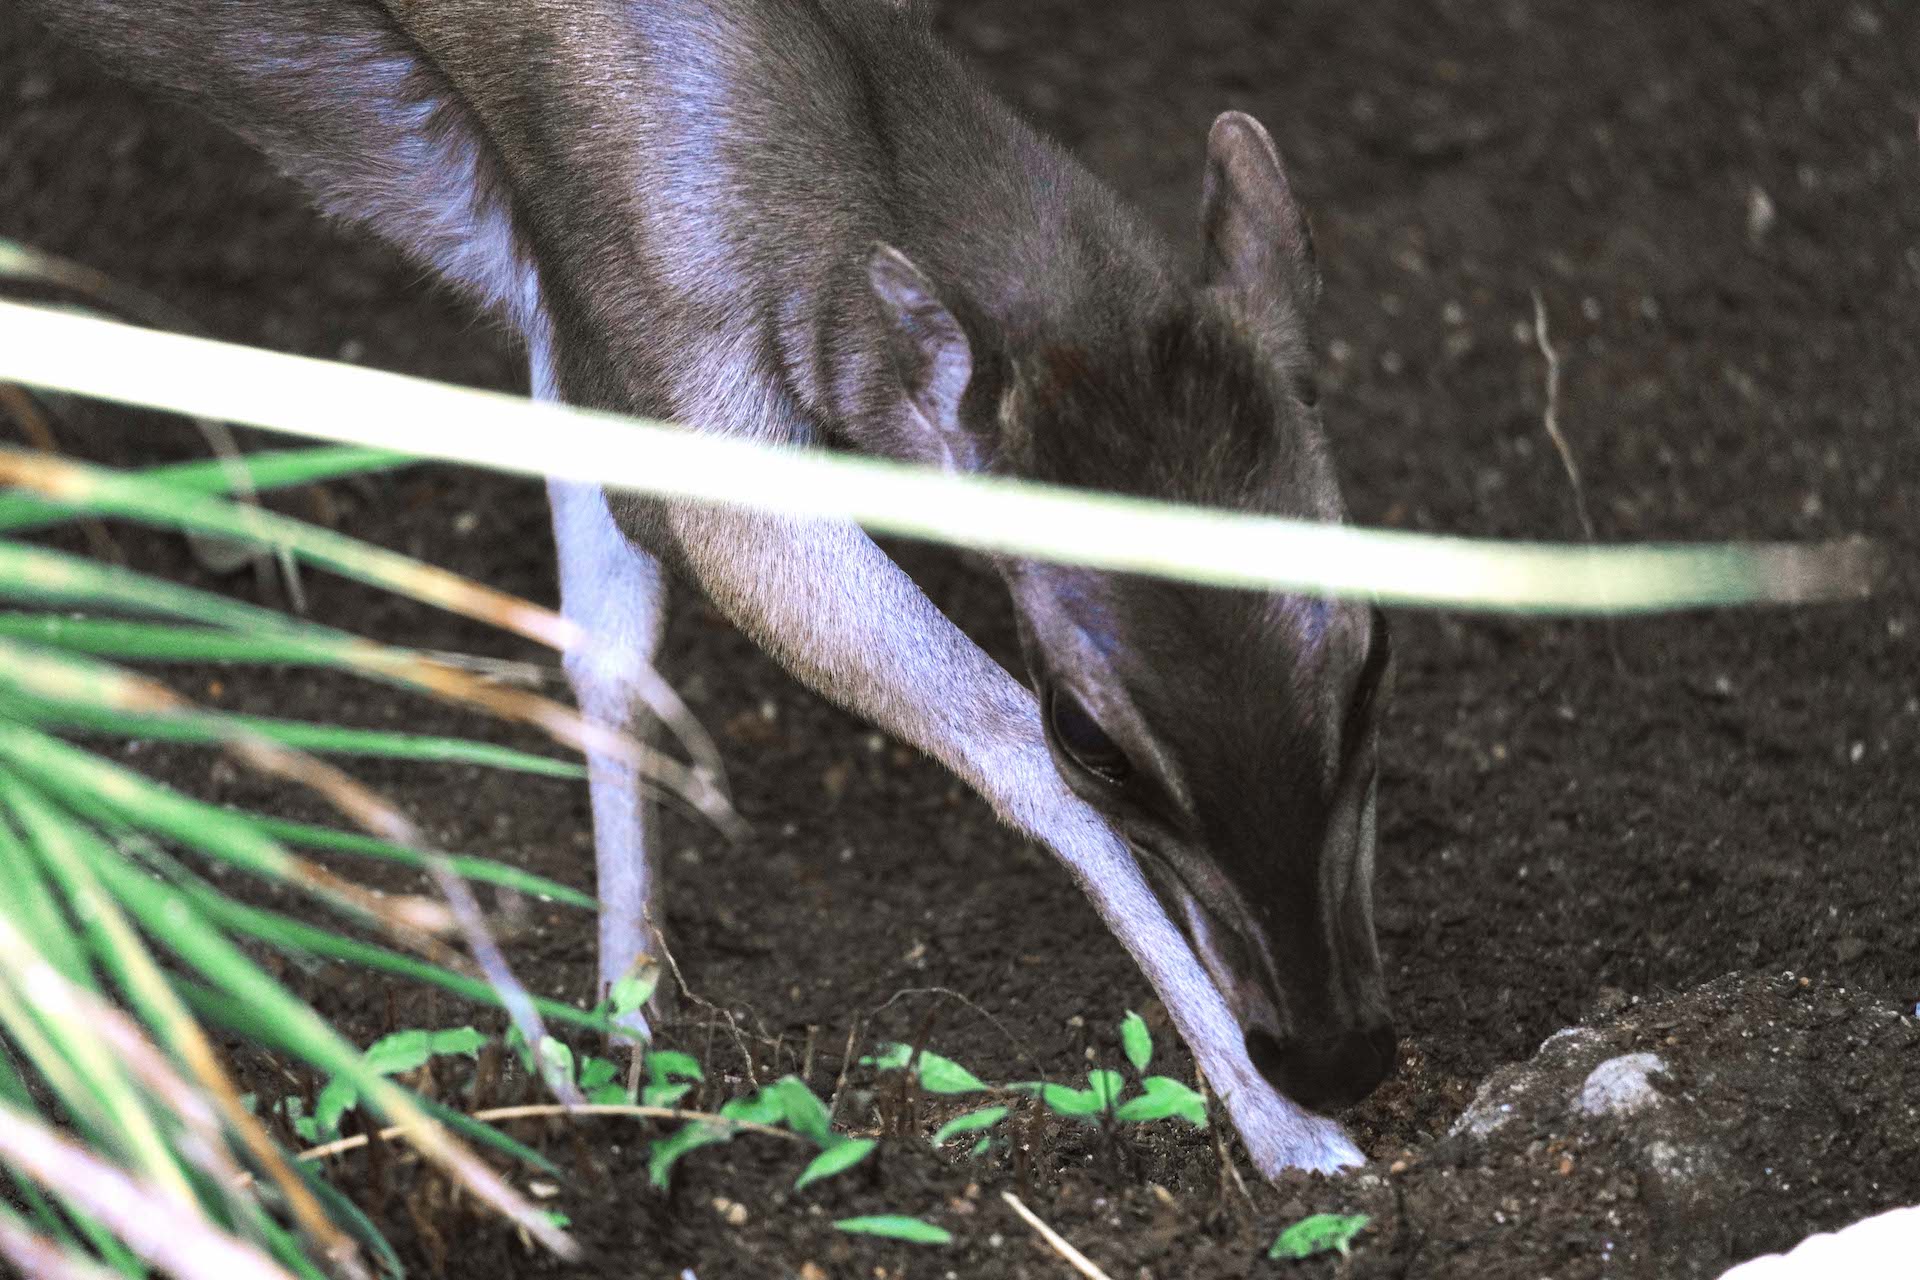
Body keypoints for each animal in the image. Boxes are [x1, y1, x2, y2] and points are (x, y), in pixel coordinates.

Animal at [26, 0, 1397, 1174]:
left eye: (1379, 650)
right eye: (1092, 734)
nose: (1338, 1053)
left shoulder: (575, 307)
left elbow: (604, 643)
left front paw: (623, 1027)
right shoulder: (675, 357)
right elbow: (995, 730)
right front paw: (1287, 1132)